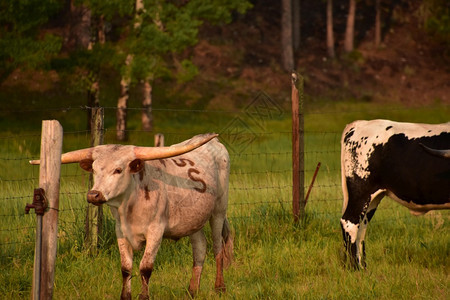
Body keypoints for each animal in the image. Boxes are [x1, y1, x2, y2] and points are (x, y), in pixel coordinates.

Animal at [340, 119, 448, 268]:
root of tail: (359, 123)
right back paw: (355, 268)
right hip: (361, 191)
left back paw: (364, 267)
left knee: (362, 228)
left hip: (373, 198)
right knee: (350, 223)